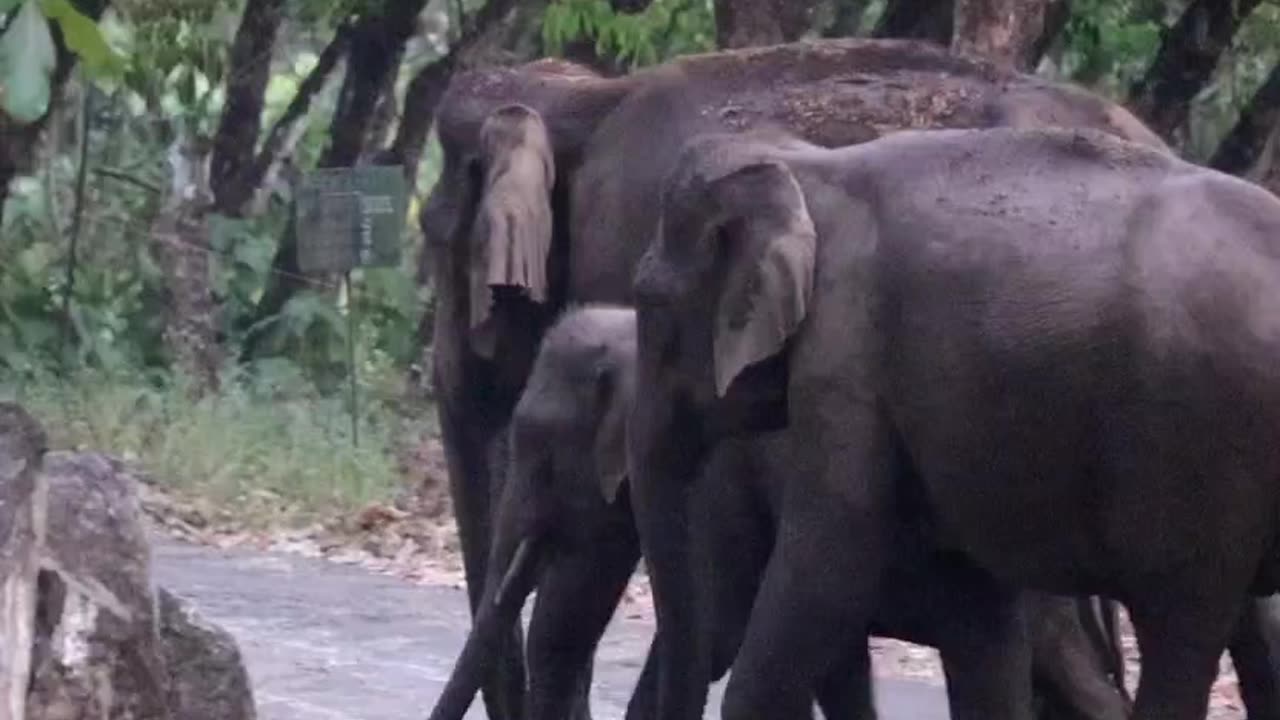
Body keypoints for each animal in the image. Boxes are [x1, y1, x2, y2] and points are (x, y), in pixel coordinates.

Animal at [629, 124, 1280, 720]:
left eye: (650, 301)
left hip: (1198, 448)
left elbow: (828, 558)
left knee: (1178, 628)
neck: (806, 164)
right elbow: (976, 614)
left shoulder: (847, 354)